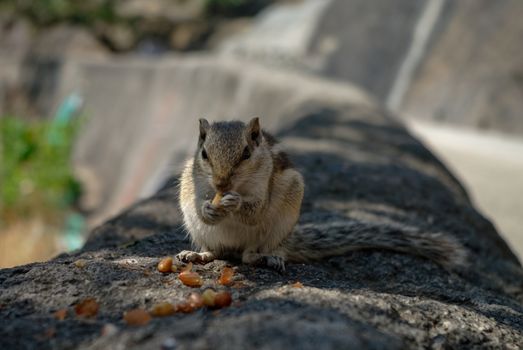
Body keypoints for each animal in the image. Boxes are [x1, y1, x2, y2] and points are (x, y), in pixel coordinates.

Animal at [178, 116, 468, 272]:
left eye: (246, 154)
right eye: (205, 154)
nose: (221, 184)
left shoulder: (263, 185)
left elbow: (255, 211)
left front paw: (235, 202)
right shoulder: (195, 183)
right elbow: (203, 209)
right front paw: (208, 209)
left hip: (278, 226)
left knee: (250, 255)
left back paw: (266, 257)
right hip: (200, 230)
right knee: (216, 251)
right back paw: (196, 255)